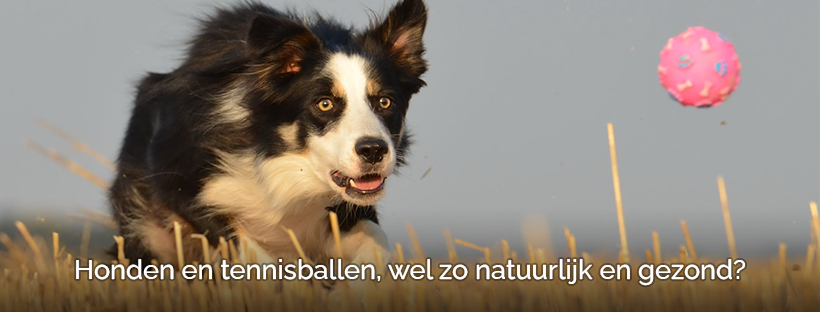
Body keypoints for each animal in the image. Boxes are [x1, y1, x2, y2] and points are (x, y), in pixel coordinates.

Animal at [109, 0, 426, 268]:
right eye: (324, 103)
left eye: (384, 101)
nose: (373, 150)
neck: (283, 164)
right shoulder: (175, 179)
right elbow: (249, 250)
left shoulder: (343, 210)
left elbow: (377, 243)